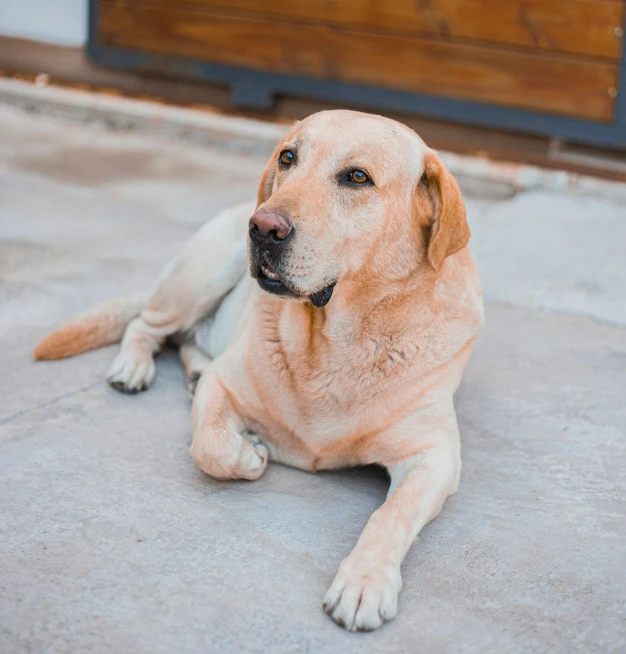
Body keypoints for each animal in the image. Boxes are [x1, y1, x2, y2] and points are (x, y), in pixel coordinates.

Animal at [34, 110, 482, 632]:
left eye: (357, 177)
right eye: (288, 157)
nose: (263, 227)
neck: (337, 339)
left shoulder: (436, 456)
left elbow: (392, 513)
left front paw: (365, 580)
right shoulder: (225, 383)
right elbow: (209, 446)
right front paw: (247, 453)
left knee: (185, 342)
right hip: (199, 277)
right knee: (145, 325)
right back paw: (133, 365)